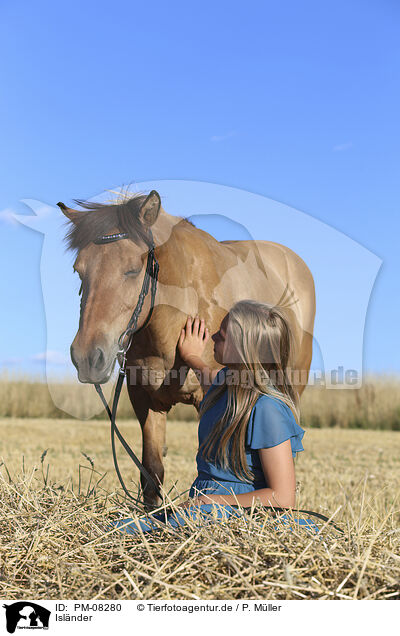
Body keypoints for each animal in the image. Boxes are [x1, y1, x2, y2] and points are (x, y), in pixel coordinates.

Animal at [58, 191, 316, 510]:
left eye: (132, 269)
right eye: (78, 270)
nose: (87, 357)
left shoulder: (211, 398)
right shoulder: (145, 399)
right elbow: (152, 473)